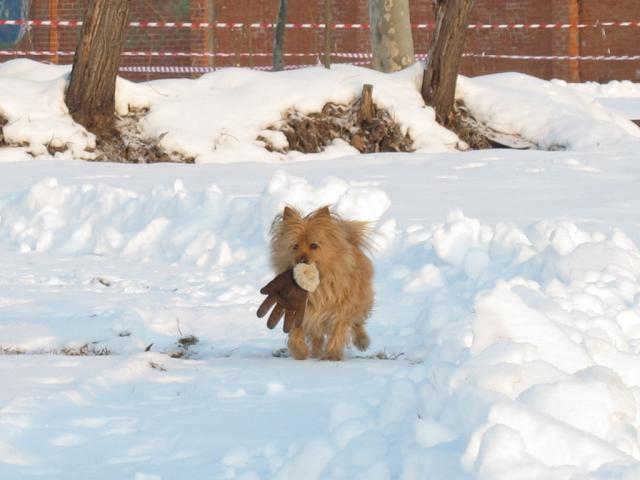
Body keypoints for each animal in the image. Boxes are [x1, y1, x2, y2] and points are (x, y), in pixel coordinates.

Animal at [270, 206, 376, 360]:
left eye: (314, 245)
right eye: (294, 246)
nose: (302, 260)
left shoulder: (341, 308)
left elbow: (339, 329)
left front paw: (332, 354)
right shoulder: (301, 309)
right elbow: (296, 331)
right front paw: (300, 351)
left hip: (360, 300)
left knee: (357, 321)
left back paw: (362, 340)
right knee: (317, 337)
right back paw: (316, 352)